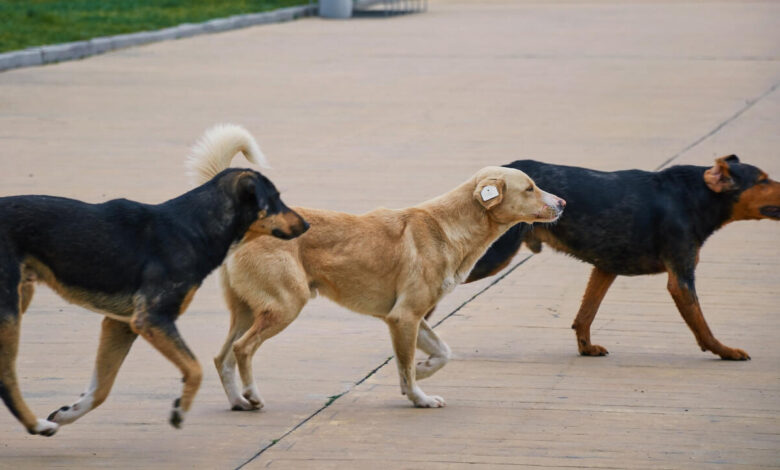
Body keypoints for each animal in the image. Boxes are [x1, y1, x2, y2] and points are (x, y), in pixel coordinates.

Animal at [0, 125, 310, 436]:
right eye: (275, 198)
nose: (307, 225)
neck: (194, 226)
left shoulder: (121, 324)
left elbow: (101, 389)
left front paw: (67, 414)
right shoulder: (153, 319)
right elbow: (195, 368)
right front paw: (180, 409)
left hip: (21, 297)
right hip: (10, 311)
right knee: (6, 374)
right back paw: (35, 424)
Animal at [189, 129, 568, 412]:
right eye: (530, 188)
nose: (563, 203)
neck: (448, 226)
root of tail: (248, 225)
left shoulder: (408, 316)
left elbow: (440, 352)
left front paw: (424, 372)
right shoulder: (405, 316)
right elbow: (406, 366)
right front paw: (419, 397)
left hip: (247, 310)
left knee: (222, 357)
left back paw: (239, 401)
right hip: (285, 305)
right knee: (243, 350)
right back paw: (252, 395)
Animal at [466, 157, 776, 360]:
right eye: (762, 180)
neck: (696, 195)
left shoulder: (606, 267)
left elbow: (586, 314)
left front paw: (586, 348)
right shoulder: (681, 278)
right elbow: (702, 324)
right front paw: (725, 351)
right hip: (492, 257)